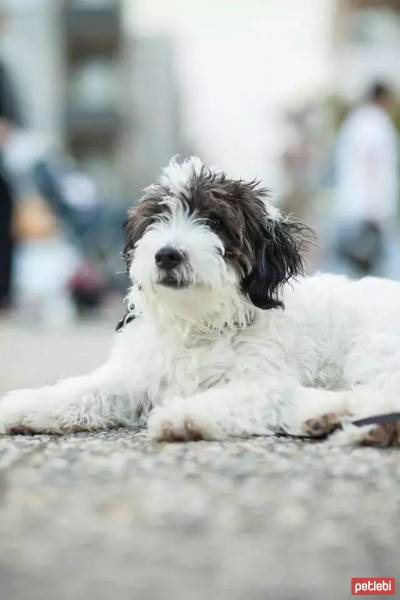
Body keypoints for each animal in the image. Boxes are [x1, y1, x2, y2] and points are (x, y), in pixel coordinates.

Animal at [0, 157, 400, 448]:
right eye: (156, 218)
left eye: (215, 222)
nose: (167, 255)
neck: (199, 323)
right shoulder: (133, 376)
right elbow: (83, 391)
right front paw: (23, 407)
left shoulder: (264, 380)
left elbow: (243, 398)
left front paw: (183, 417)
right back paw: (323, 415)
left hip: (372, 348)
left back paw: (368, 428)